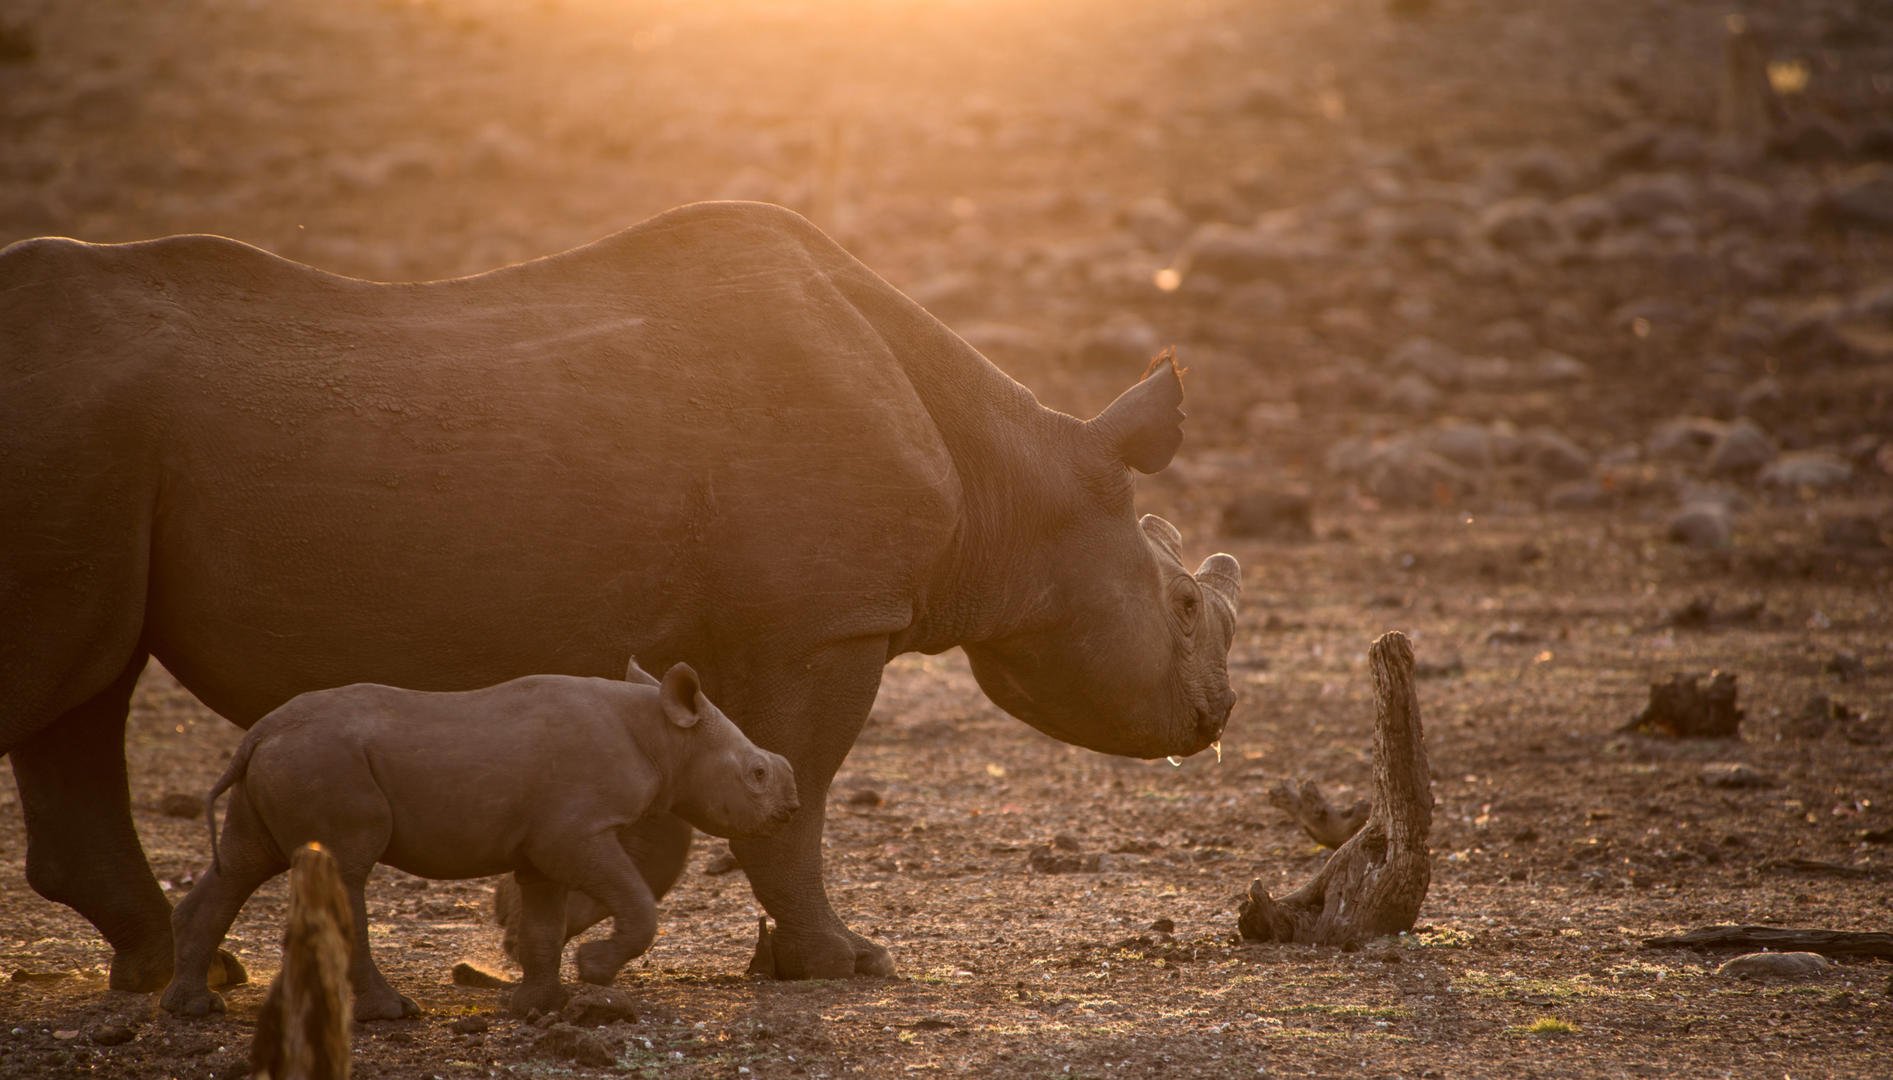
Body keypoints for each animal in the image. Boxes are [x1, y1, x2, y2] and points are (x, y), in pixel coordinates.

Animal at [153, 658, 791, 1021]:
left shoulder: (546, 842)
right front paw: (593, 971)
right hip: (324, 762)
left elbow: (541, 923)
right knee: (346, 870)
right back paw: (391, 1015)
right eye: (757, 774)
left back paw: (192, 1009)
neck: (666, 734)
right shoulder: (577, 830)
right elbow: (635, 902)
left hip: (289, 760)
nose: (792, 808)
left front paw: (539, 1005)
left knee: (242, 862)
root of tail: (260, 731)